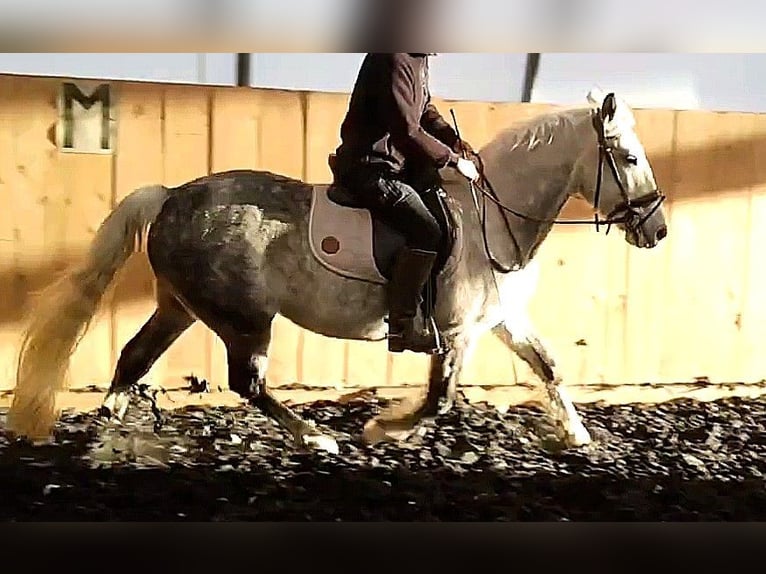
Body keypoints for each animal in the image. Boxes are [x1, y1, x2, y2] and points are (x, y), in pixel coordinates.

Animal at [6, 89, 664, 454]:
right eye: (629, 157)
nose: (656, 230)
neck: (492, 218)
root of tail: (170, 197)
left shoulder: (499, 321)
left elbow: (548, 365)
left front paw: (578, 436)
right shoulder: (456, 333)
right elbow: (440, 399)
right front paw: (381, 430)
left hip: (181, 307)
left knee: (135, 358)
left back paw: (108, 433)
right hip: (244, 317)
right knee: (247, 382)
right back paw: (314, 437)